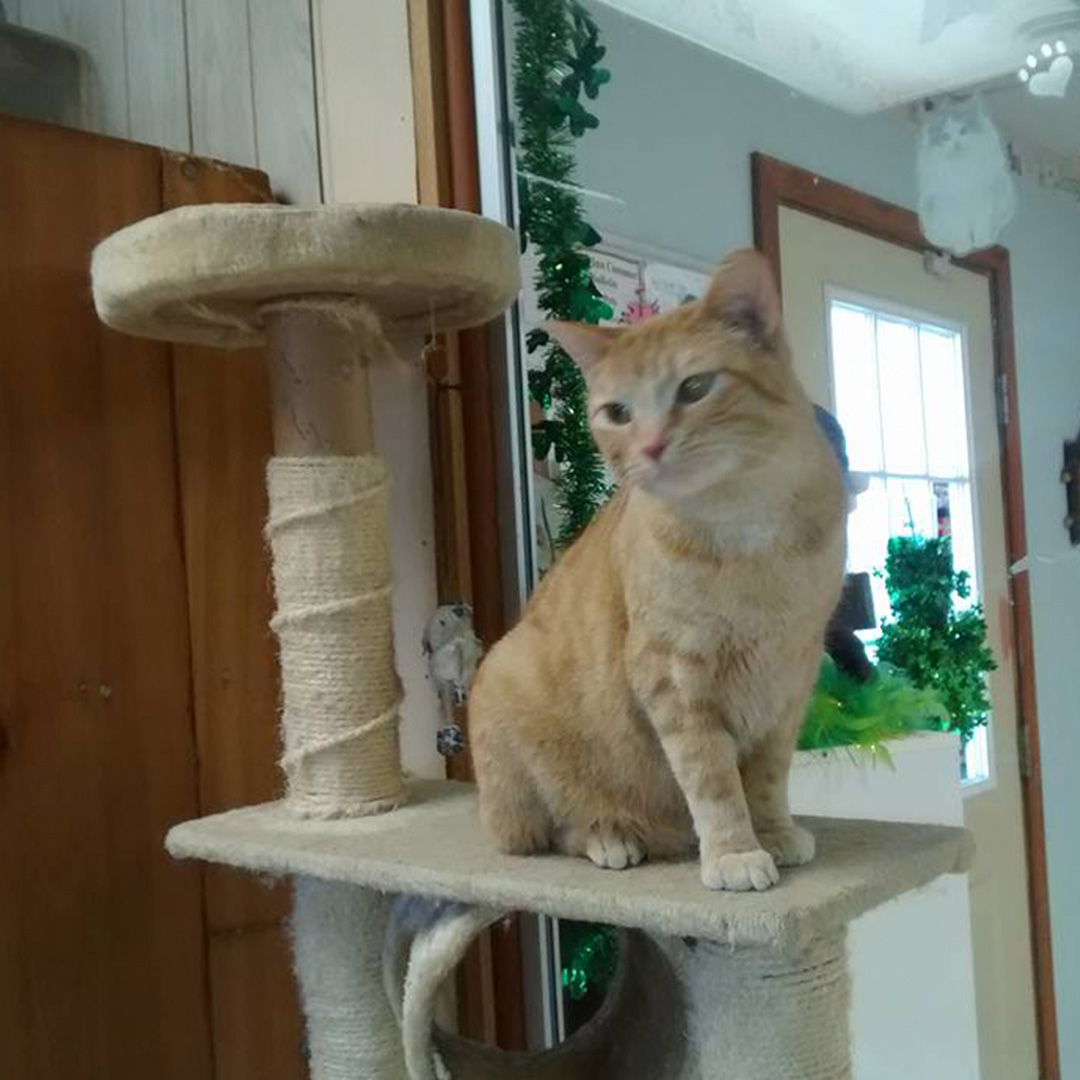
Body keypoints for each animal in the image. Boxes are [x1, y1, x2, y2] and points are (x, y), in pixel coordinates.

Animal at [468, 248, 846, 889]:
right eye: (617, 412)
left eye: (695, 387)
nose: (648, 447)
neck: (748, 534)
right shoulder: (674, 675)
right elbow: (712, 778)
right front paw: (735, 852)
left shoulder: (790, 677)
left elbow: (767, 777)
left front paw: (772, 832)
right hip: (510, 698)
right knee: (556, 830)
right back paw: (612, 836)